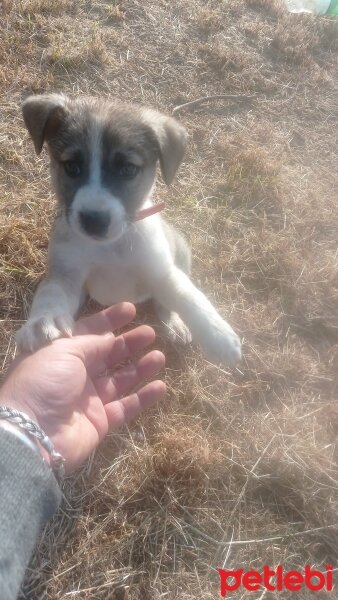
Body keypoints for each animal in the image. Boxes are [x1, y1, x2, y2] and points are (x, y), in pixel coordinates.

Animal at [15, 94, 242, 366]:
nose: (93, 221)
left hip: (181, 250)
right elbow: (51, 295)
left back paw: (175, 323)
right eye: (72, 166)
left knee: (167, 301)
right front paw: (43, 322)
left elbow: (190, 296)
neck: (110, 247)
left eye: (128, 169)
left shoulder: (160, 272)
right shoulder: (66, 275)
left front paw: (218, 335)